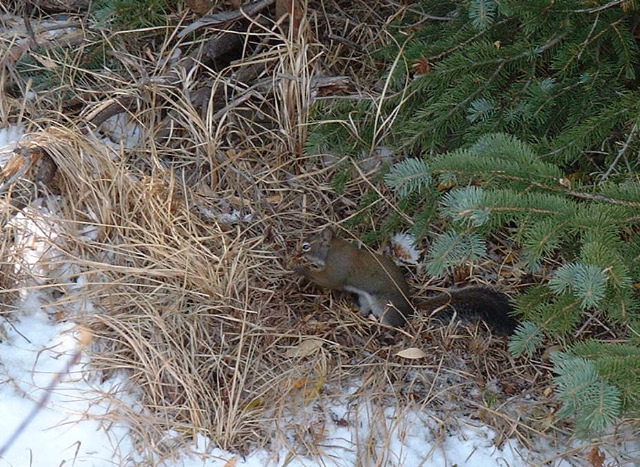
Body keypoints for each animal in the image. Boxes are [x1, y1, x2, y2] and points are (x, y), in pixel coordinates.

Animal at [295, 226, 518, 336]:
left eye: (306, 246)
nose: (297, 252)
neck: (333, 249)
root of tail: (410, 307)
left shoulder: (337, 270)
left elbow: (327, 280)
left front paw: (300, 268)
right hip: (368, 300)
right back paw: (361, 316)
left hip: (385, 306)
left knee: (394, 325)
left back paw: (378, 326)